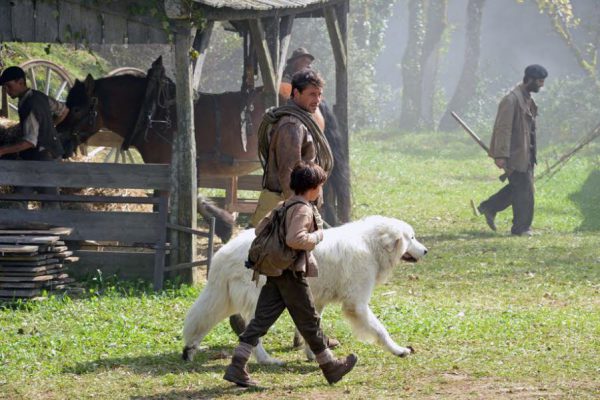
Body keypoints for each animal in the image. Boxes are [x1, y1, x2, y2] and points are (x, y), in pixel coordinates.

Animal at [56, 73, 352, 233]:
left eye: (78, 108)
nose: (59, 137)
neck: (155, 113)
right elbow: (192, 198)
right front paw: (223, 225)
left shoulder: (167, 168)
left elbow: (172, 203)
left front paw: (221, 226)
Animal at [182, 217, 426, 364]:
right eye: (412, 238)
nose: (425, 251)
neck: (370, 244)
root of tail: (223, 253)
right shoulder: (356, 305)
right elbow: (380, 330)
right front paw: (399, 350)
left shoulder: (315, 301)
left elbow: (311, 328)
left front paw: (313, 354)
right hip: (259, 303)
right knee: (250, 333)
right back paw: (266, 360)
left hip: (223, 300)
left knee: (203, 322)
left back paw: (190, 349)